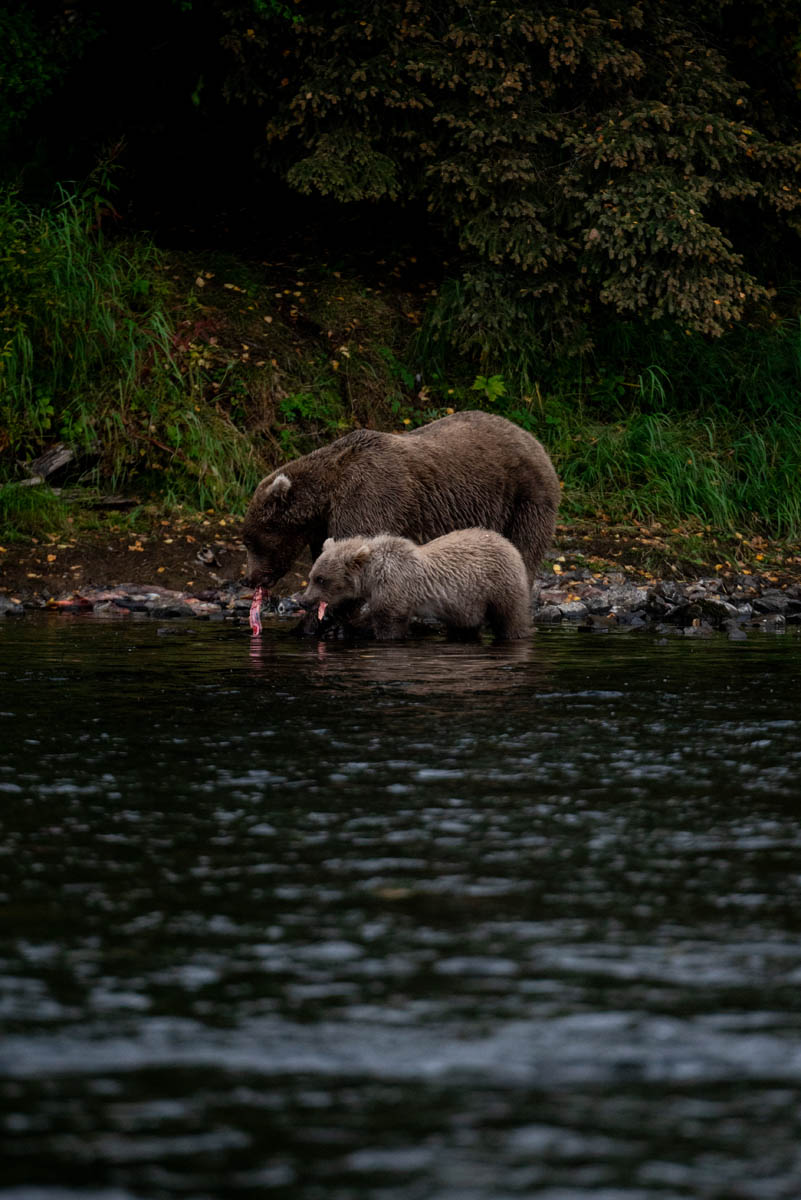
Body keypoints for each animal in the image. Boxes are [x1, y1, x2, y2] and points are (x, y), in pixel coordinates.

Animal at [242, 410, 560, 595]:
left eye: (252, 541)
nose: (251, 579)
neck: (327, 495)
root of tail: (531, 437)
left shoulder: (369, 498)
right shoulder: (323, 524)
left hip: (522, 496)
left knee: (524, 546)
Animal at [299, 528, 532, 641]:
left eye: (321, 579)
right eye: (312, 575)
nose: (303, 600)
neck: (371, 577)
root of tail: (508, 543)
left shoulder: (394, 587)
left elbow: (388, 623)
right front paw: (335, 629)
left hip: (500, 584)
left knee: (510, 617)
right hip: (467, 603)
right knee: (466, 625)